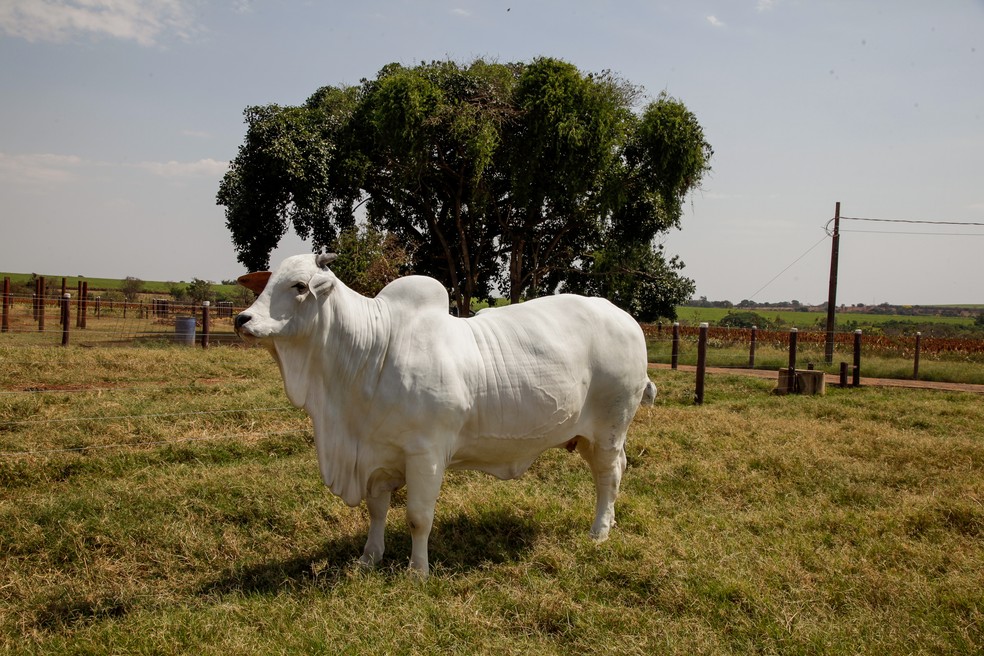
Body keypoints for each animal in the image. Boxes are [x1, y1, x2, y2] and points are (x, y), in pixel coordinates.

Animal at [234, 254, 656, 576]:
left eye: (298, 286)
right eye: (267, 283)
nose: (242, 319)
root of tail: (626, 318)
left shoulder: (426, 454)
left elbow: (419, 516)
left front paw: (417, 571)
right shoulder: (375, 454)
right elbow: (377, 511)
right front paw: (369, 558)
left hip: (609, 429)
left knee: (608, 477)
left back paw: (599, 532)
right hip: (587, 436)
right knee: (616, 472)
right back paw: (610, 522)